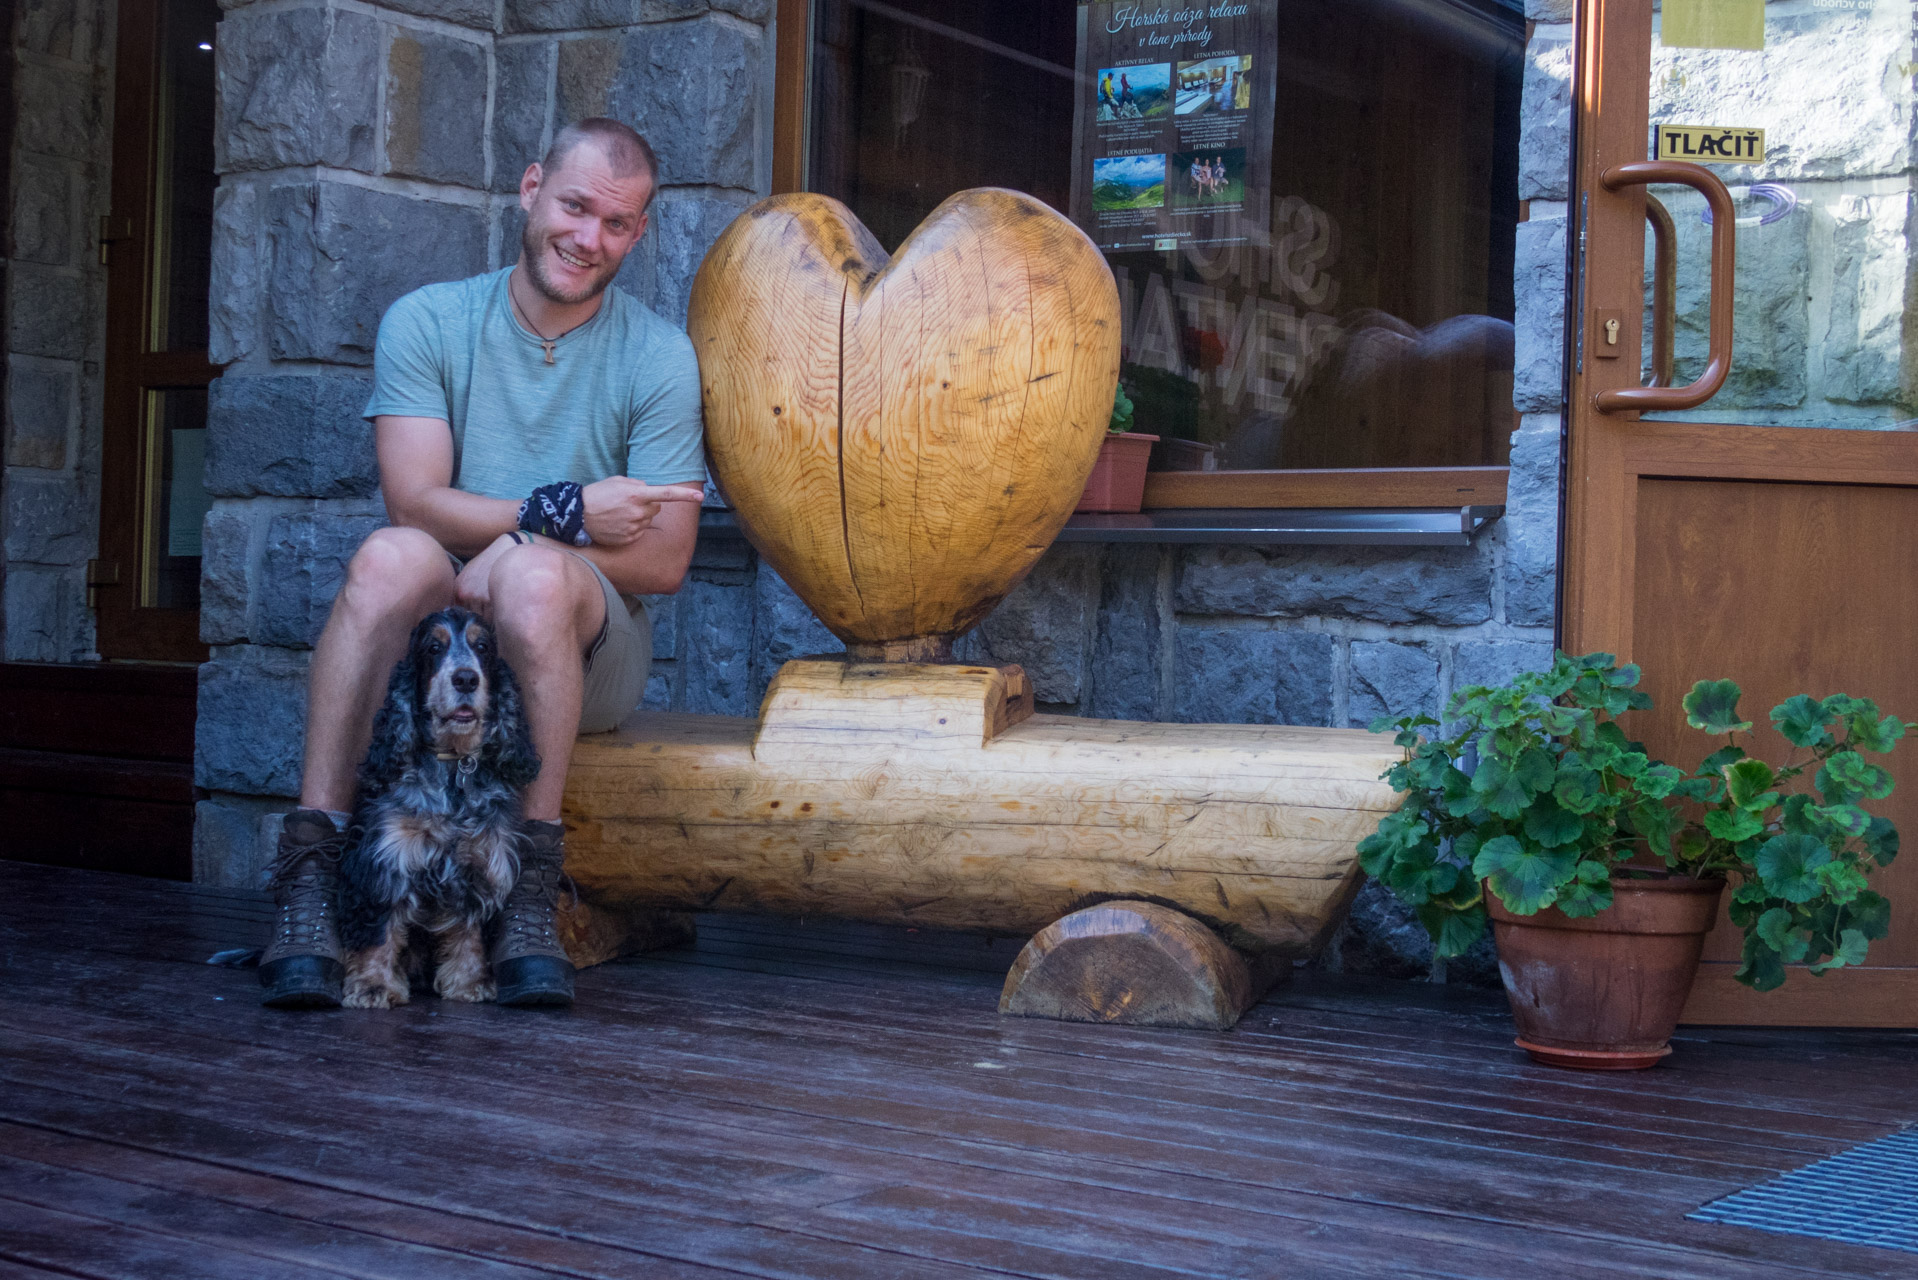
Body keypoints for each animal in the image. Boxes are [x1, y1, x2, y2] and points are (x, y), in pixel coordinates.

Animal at [337, 610, 540, 1013]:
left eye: (483, 647)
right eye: (433, 648)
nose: (466, 678)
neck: (452, 764)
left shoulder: (480, 863)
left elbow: (469, 930)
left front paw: (470, 982)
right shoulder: (385, 860)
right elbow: (379, 930)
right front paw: (372, 986)